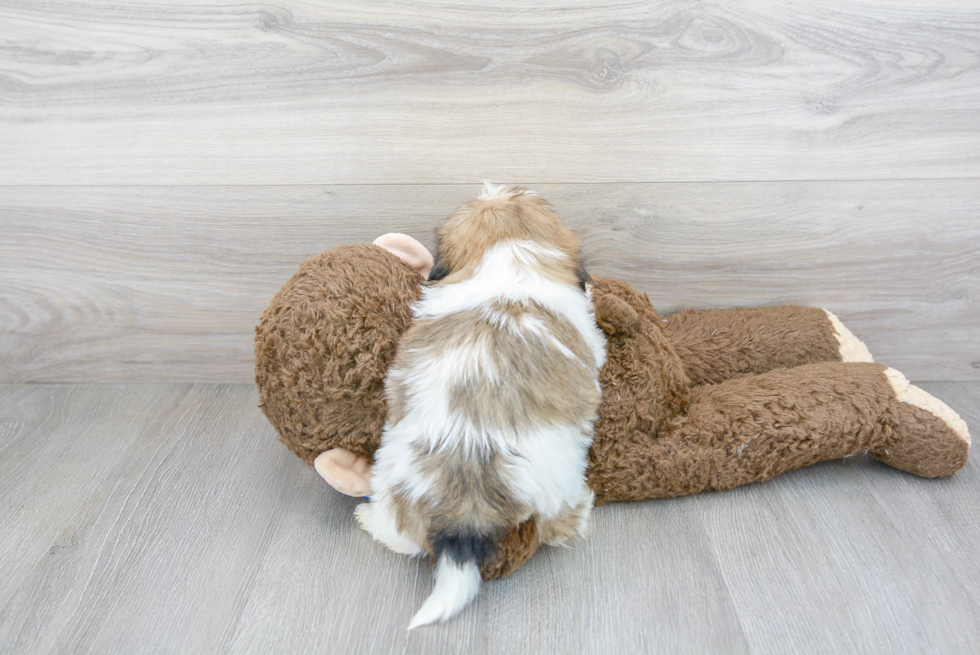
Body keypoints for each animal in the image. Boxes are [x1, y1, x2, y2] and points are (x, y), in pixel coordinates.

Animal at [356, 183, 608, 632]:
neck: (510, 261)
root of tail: (465, 511)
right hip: (558, 483)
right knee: (555, 523)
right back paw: (579, 514)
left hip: (392, 470)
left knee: (399, 531)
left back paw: (371, 520)